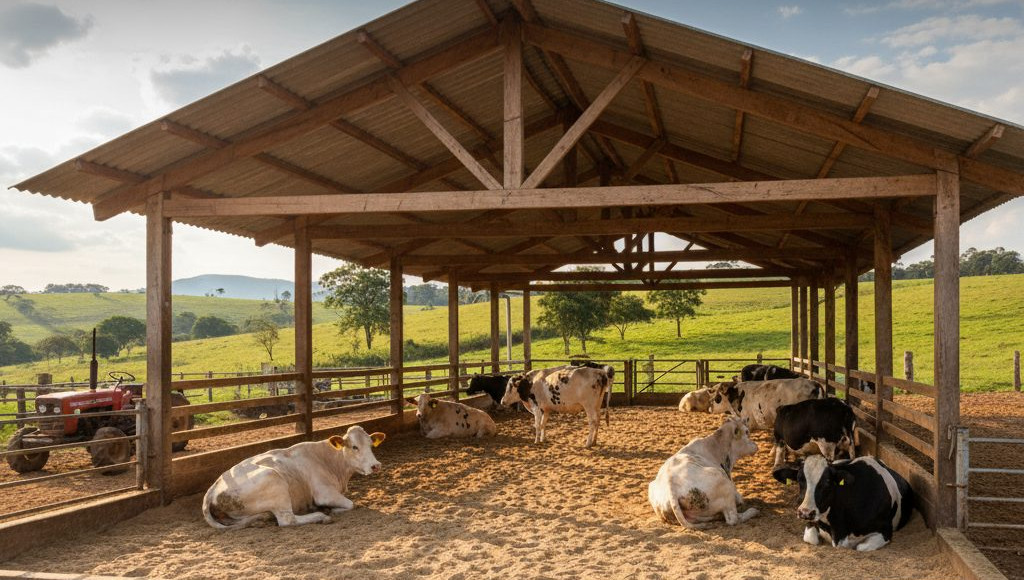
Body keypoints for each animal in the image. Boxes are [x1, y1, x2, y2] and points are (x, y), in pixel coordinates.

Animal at [202, 425, 385, 529]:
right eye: (354, 447)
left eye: (371, 445)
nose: (376, 465)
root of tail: (213, 488)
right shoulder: (324, 493)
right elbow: (351, 504)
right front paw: (330, 509)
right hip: (273, 480)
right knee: (287, 520)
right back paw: (321, 516)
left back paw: (261, 520)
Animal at [772, 455, 914, 551]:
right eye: (799, 480)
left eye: (827, 482)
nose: (805, 512)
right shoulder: (813, 522)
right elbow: (811, 538)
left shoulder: (885, 531)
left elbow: (859, 547)